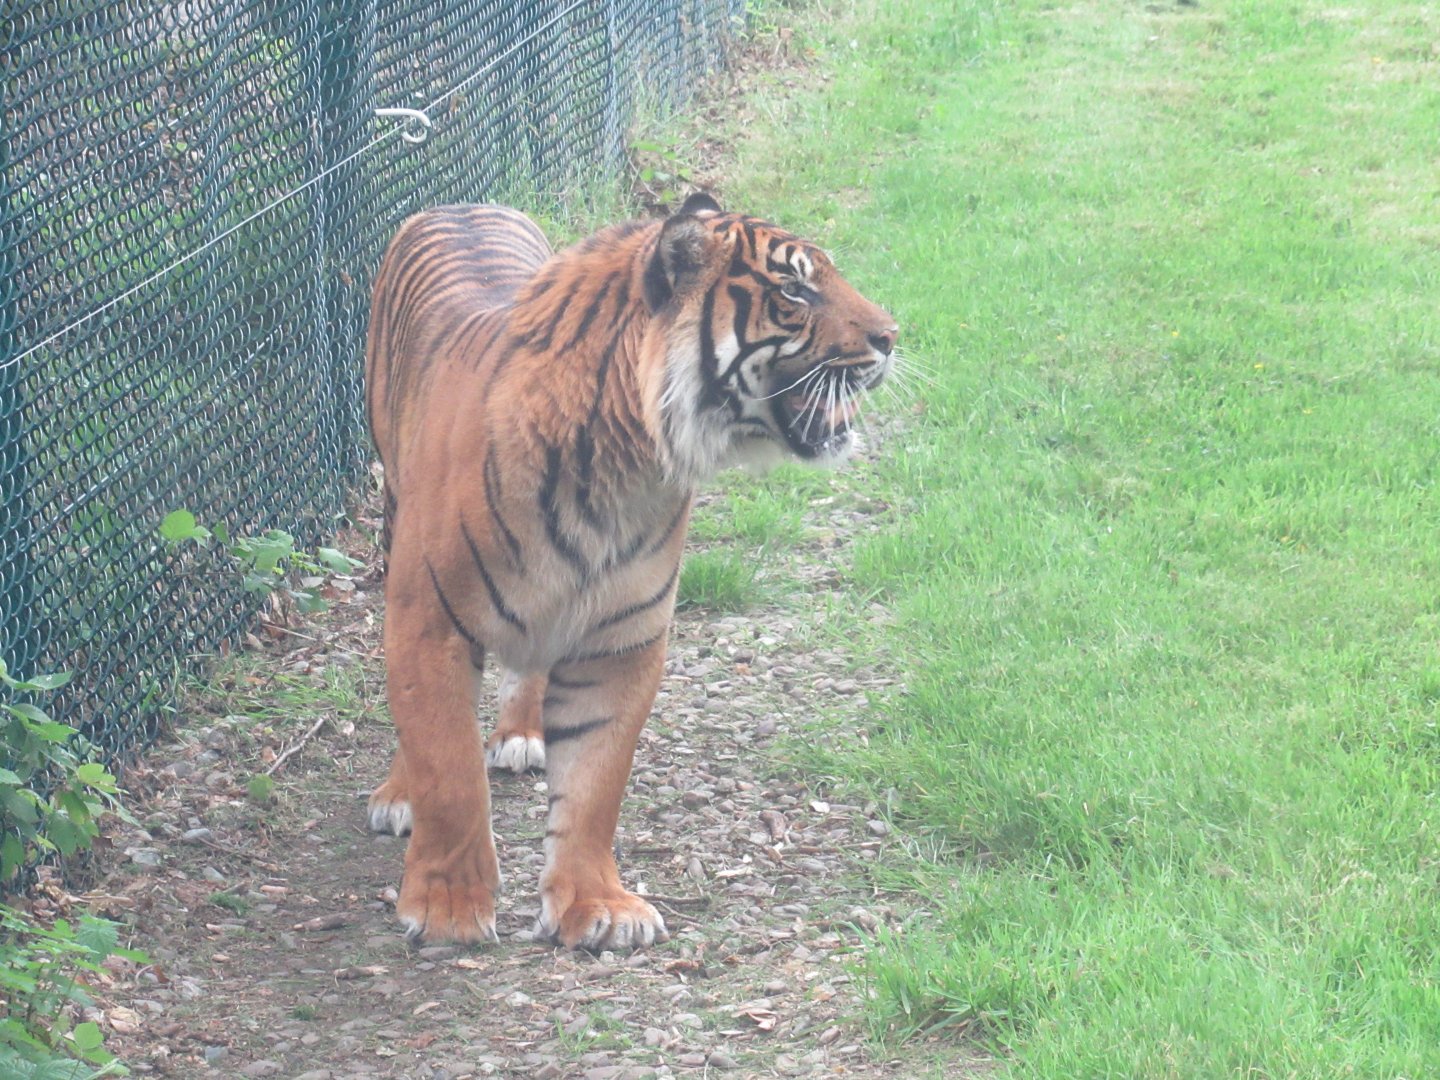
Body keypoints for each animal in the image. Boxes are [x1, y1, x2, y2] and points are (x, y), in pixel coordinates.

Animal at [363, 192, 897, 950]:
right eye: (794, 290)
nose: (892, 336)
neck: (622, 465)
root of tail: (465, 201)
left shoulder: (621, 642)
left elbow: (593, 786)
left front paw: (596, 906)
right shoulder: (429, 622)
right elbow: (449, 770)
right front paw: (447, 907)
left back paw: (522, 733)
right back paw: (398, 794)